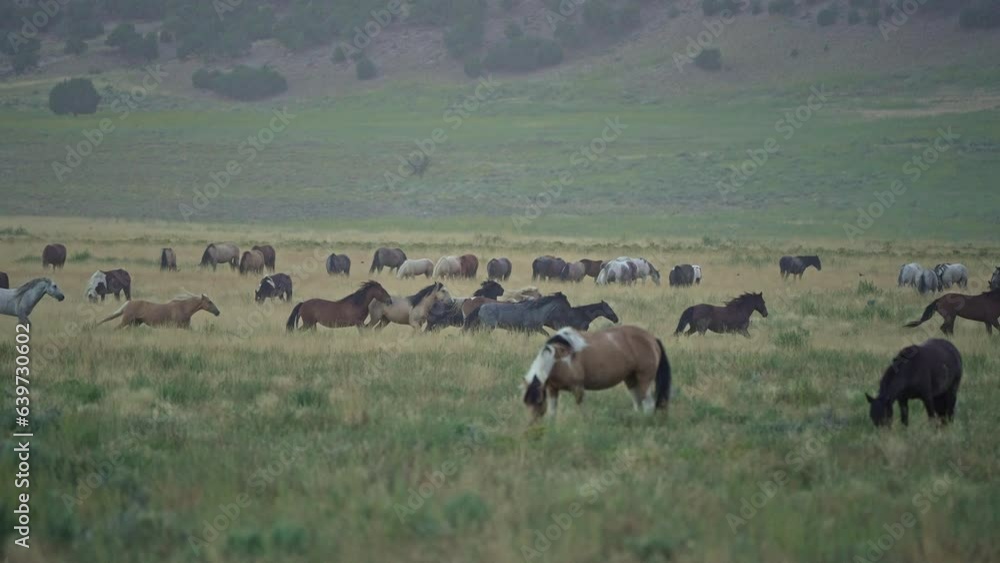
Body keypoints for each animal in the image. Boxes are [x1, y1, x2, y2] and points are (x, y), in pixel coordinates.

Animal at [522, 325, 671, 421]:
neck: (559, 358)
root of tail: (652, 339)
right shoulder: (552, 389)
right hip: (631, 379)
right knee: (638, 403)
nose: (533, 424)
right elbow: (552, 413)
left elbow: (581, 410)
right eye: (526, 402)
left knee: (648, 404)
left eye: (539, 401)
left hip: (644, 378)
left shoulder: (578, 388)